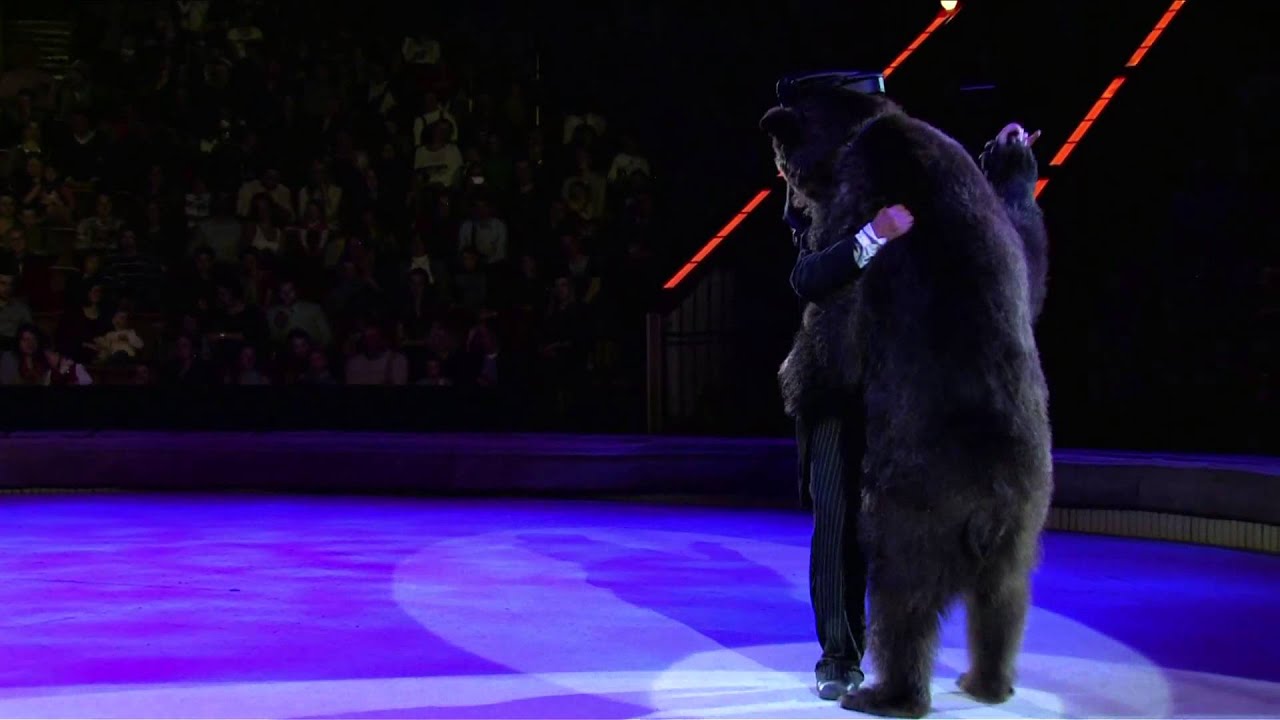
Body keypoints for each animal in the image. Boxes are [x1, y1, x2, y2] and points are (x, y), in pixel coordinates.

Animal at [762, 81, 1054, 712]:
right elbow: (1029, 263)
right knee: (1002, 605)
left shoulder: (862, 195)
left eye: (783, 169)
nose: (788, 213)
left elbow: (832, 322)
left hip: (913, 506)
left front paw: (797, 379)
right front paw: (1011, 158)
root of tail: (989, 502)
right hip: (1024, 522)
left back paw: (886, 692)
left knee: (902, 601)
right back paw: (987, 681)